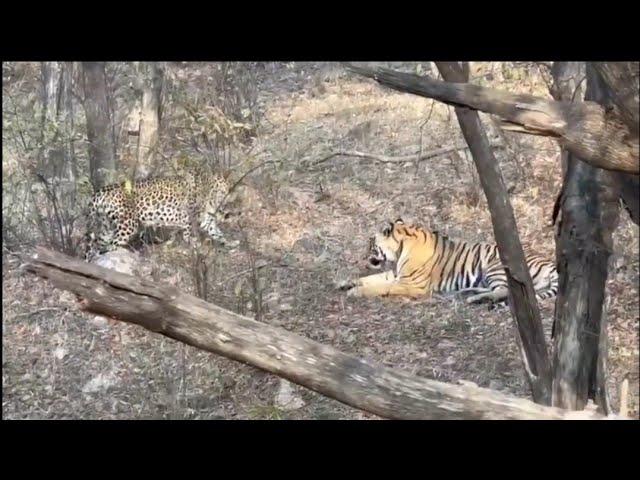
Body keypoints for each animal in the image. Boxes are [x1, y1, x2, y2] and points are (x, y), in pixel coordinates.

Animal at [338, 218, 556, 304]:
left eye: (370, 243)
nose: (363, 257)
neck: (401, 249)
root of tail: (551, 263)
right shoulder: (396, 274)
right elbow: (371, 278)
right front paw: (344, 283)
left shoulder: (411, 284)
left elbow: (380, 287)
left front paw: (355, 292)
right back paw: (467, 293)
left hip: (496, 266)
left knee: (504, 291)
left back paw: (475, 298)